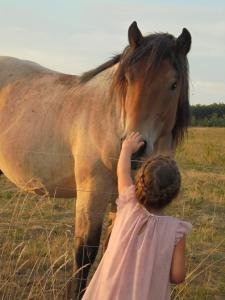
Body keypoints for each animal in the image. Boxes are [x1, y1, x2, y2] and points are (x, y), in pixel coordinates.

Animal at [0, 22, 192, 298]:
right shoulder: (92, 197)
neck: (109, 119)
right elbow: (84, 256)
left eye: (173, 85)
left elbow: (112, 248)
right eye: (128, 79)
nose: (135, 149)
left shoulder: (121, 202)